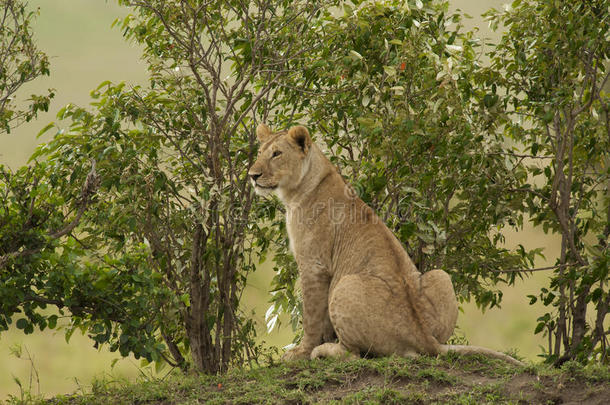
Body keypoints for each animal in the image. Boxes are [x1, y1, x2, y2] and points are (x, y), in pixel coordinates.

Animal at [248, 123, 524, 366]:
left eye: (277, 154)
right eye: (260, 153)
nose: (252, 176)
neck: (303, 185)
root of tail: (424, 337)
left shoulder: (314, 265)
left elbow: (312, 317)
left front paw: (301, 352)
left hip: (346, 284)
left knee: (354, 354)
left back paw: (323, 351)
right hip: (440, 276)